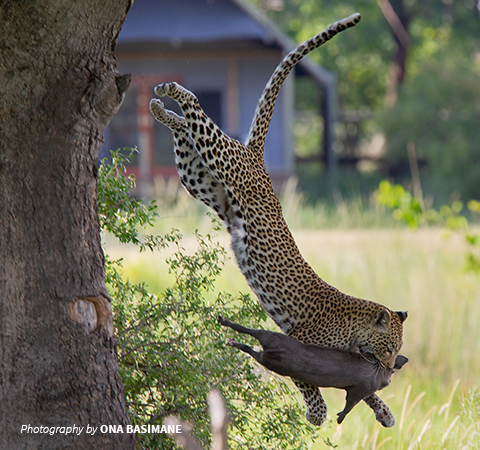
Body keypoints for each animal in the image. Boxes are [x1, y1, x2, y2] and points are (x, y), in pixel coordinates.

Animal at [148, 13, 406, 428]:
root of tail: (256, 156)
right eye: (391, 344)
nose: (392, 366)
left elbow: (360, 389)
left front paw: (383, 411)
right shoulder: (297, 338)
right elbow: (304, 377)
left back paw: (159, 107)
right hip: (223, 160)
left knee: (187, 130)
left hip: (200, 177)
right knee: (199, 115)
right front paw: (317, 411)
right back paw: (169, 88)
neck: (354, 329)